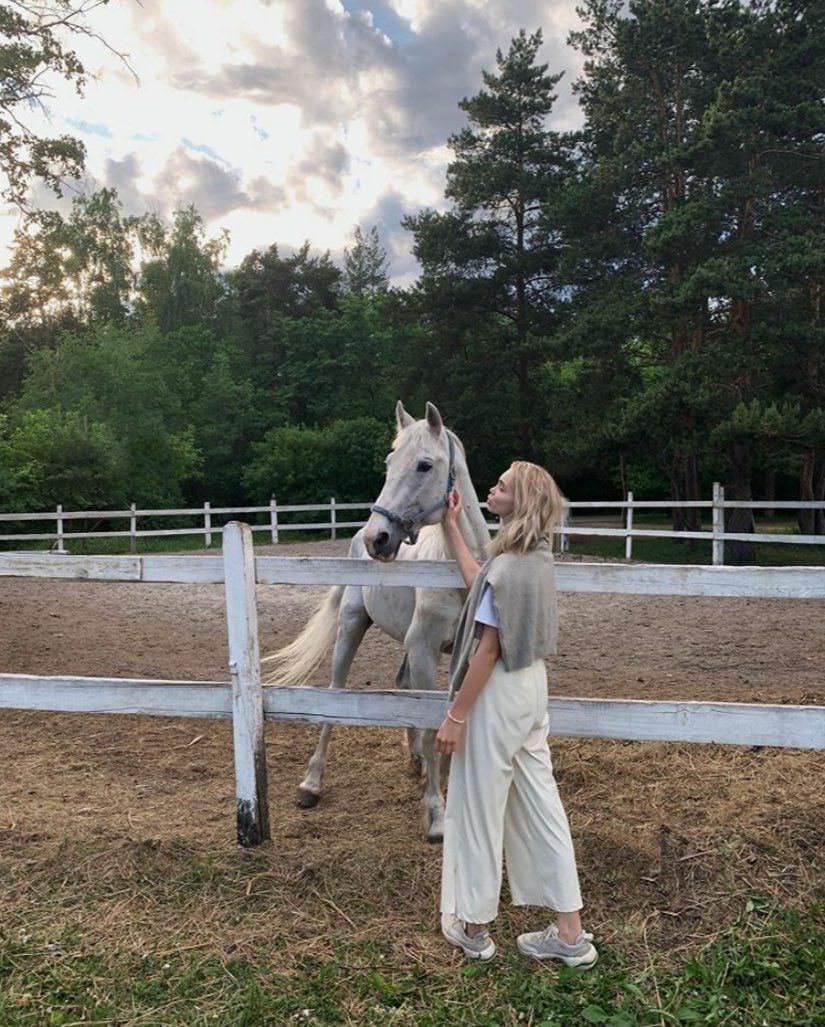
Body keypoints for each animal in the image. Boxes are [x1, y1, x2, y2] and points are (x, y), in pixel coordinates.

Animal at [262, 400, 492, 842]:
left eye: (424, 465)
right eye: (389, 461)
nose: (378, 538)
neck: (457, 572)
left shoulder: (462, 656)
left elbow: (449, 716)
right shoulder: (424, 650)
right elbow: (430, 720)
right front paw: (435, 815)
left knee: (402, 688)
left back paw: (415, 760)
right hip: (353, 627)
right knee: (335, 694)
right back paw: (311, 784)